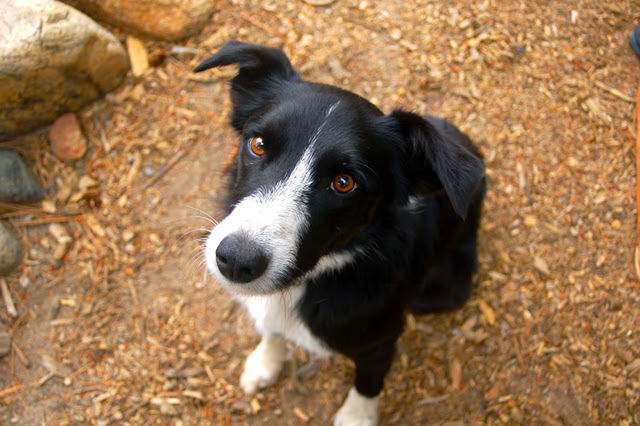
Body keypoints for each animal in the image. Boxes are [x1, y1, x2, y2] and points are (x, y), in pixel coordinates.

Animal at [195, 40, 484, 426]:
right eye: (257, 144)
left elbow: (368, 382)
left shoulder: (380, 341)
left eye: (344, 182)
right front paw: (265, 362)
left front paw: (356, 416)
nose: (236, 260)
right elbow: (271, 330)